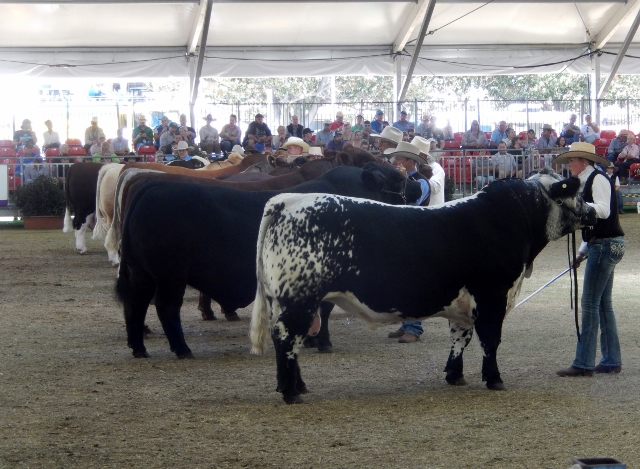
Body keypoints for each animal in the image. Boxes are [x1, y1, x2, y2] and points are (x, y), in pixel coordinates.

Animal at [115, 163, 422, 360]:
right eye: (398, 179)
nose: (419, 185)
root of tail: (152, 185)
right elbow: (324, 310)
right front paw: (322, 341)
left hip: (142, 272)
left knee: (135, 304)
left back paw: (139, 348)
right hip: (170, 276)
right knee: (166, 308)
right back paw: (182, 350)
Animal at [249, 169, 597, 403]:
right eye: (578, 194)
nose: (594, 211)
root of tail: (288, 200)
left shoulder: (463, 304)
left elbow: (460, 339)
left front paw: (455, 375)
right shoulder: (493, 296)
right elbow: (490, 340)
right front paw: (494, 379)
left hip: (289, 301)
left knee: (291, 340)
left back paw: (296, 386)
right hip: (300, 299)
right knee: (287, 338)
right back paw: (291, 392)